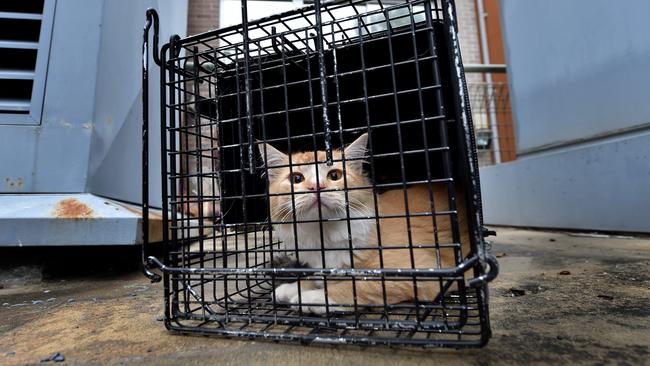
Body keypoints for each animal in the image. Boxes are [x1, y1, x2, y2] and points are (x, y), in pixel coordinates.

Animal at [256, 133, 466, 314]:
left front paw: (312, 297)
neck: (325, 234)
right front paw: (293, 288)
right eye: (296, 178)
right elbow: (319, 277)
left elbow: (358, 286)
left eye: (334, 176)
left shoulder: (423, 272)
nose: (317, 187)